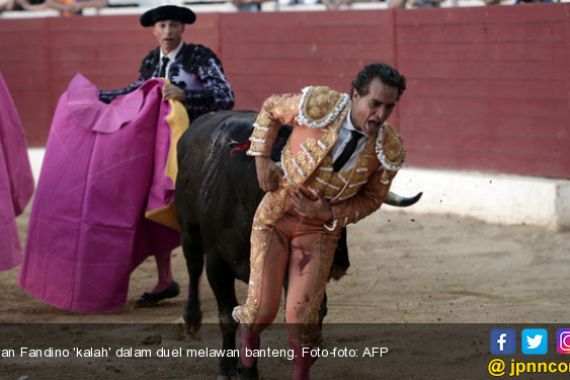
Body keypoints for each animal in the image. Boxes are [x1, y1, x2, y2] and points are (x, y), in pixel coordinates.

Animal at [175, 110, 420, 380]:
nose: (338, 265)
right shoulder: (217, 261)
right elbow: (227, 315)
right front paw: (228, 368)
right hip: (189, 230)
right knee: (193, 265)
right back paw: (191, 318)